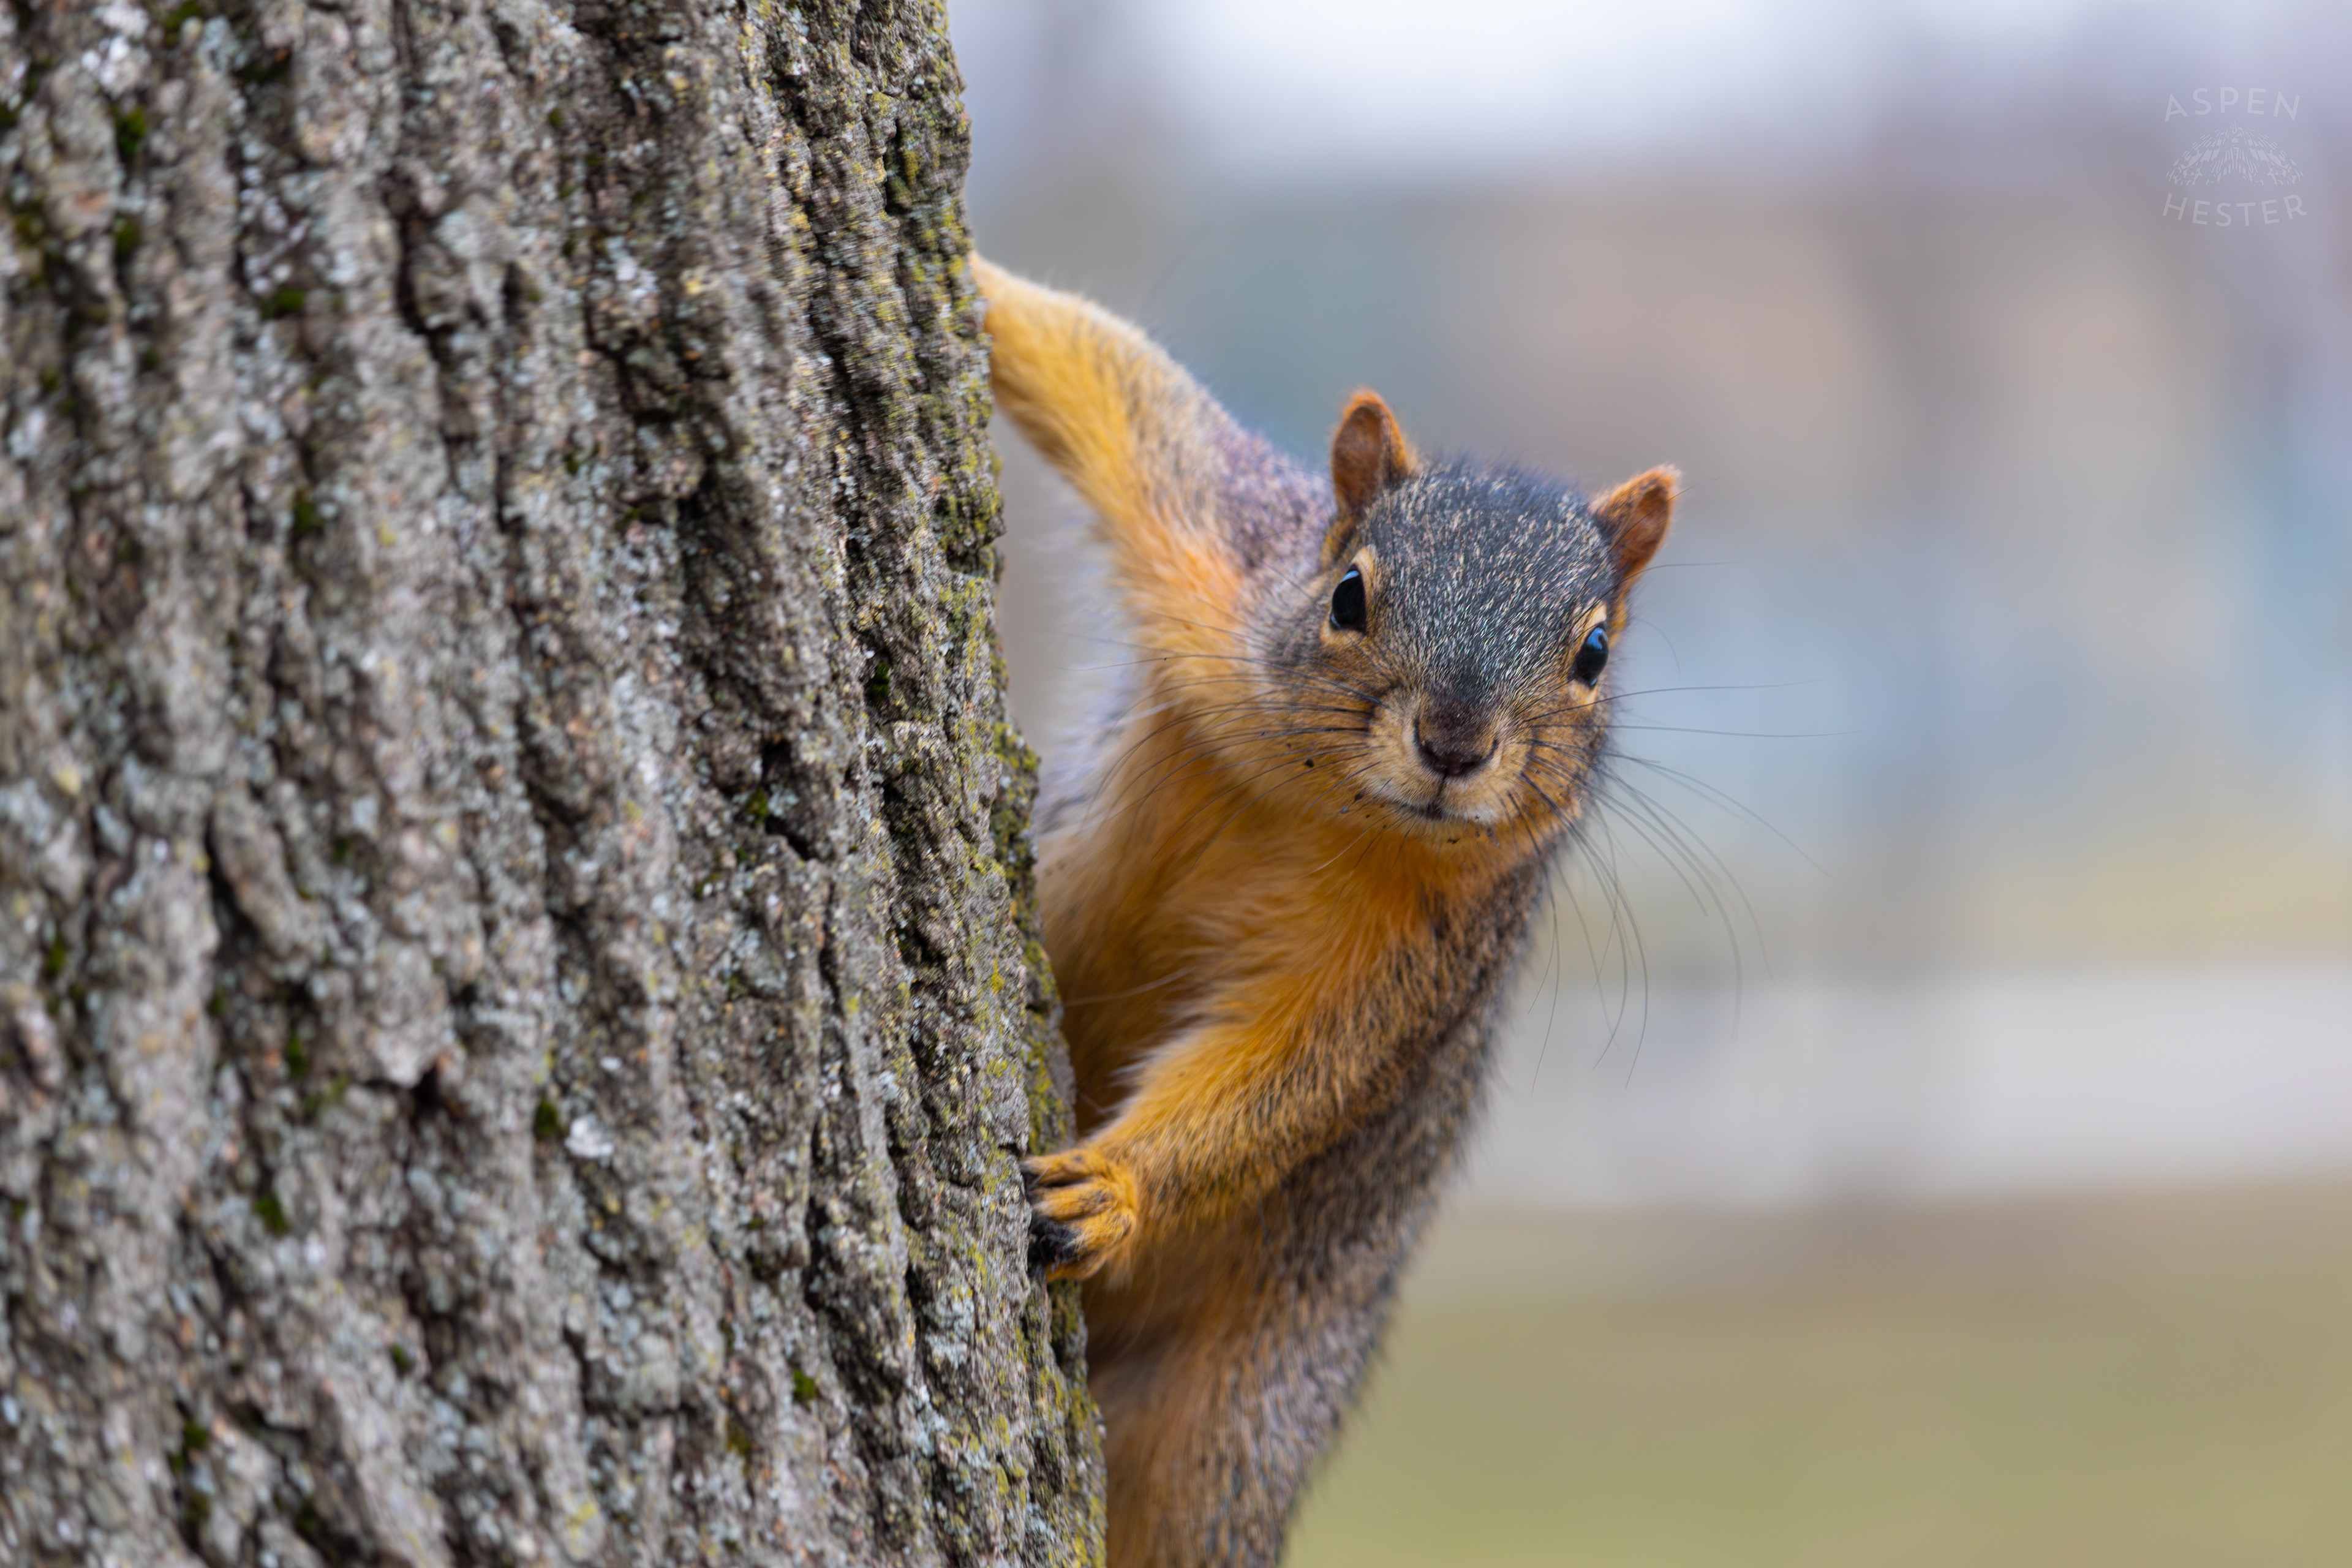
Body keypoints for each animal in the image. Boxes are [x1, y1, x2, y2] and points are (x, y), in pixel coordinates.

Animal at [972, 255, 1676, 1567]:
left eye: (1596, 654)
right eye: (1349, 593)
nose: (1454, 743)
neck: (1321, 802)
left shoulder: (1429, 953)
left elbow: (1291, 1072)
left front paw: (1116, 1190)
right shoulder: (1217, 546)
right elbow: (1114, 386)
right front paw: (976, 279)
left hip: (1231, 1428)